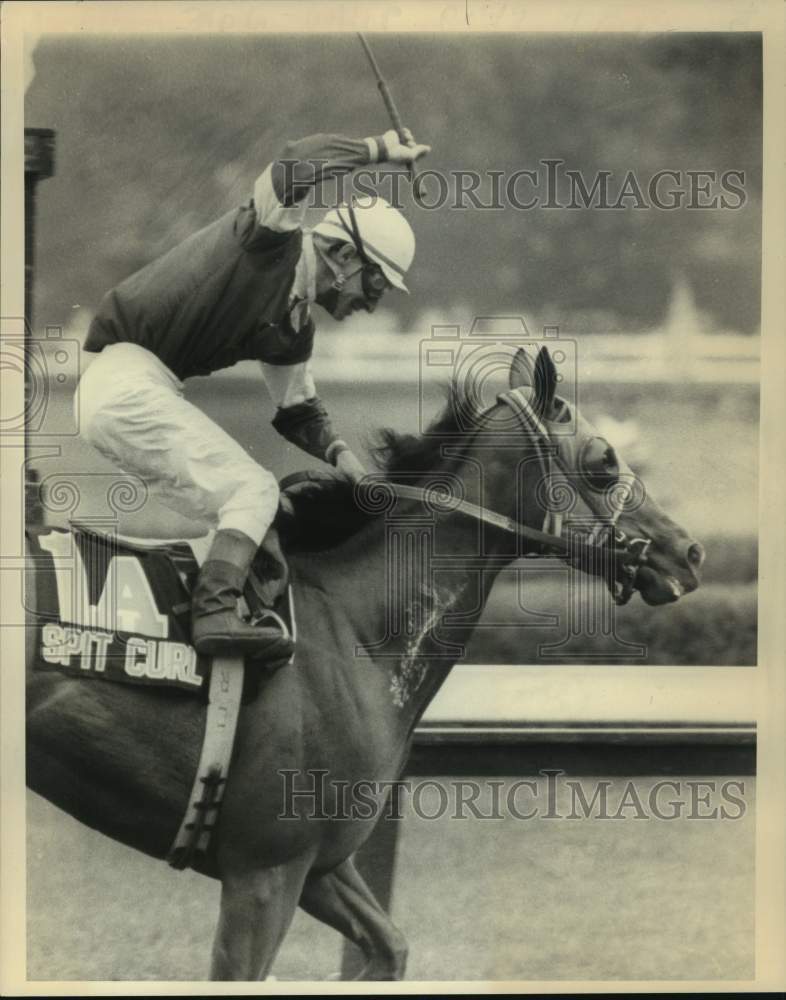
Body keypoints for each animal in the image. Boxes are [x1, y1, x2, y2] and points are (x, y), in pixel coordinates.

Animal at [24, 348, 700, 980]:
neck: (355, 626)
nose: (687, 551)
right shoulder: (265, 870)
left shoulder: (321, 863)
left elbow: (390, 948)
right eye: (604, 459)